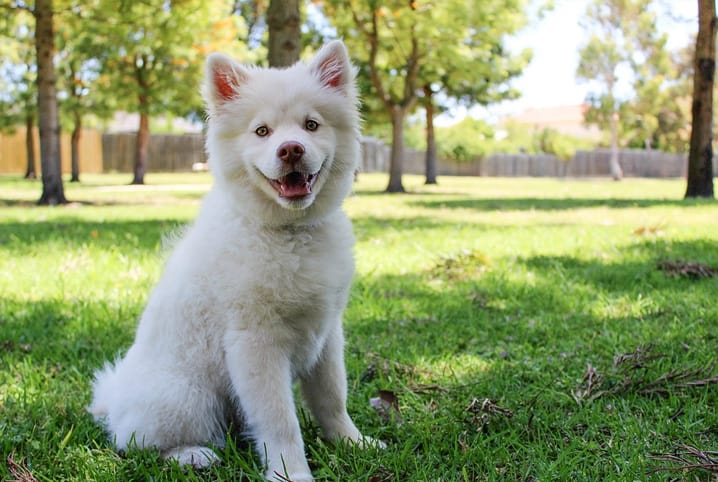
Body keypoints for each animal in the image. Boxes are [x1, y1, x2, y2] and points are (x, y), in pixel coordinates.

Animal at [91, 40, 382, 482]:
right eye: (262, 131)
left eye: (311, 125)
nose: (291, 149)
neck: (289, 233)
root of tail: (116, 400)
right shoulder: (255, 344)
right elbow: (281, 421)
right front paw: (291, 473)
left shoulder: (327, 334)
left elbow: (333, 398)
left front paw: (353, 444)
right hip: (187, 398)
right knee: (136, 443)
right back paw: (192, 455)